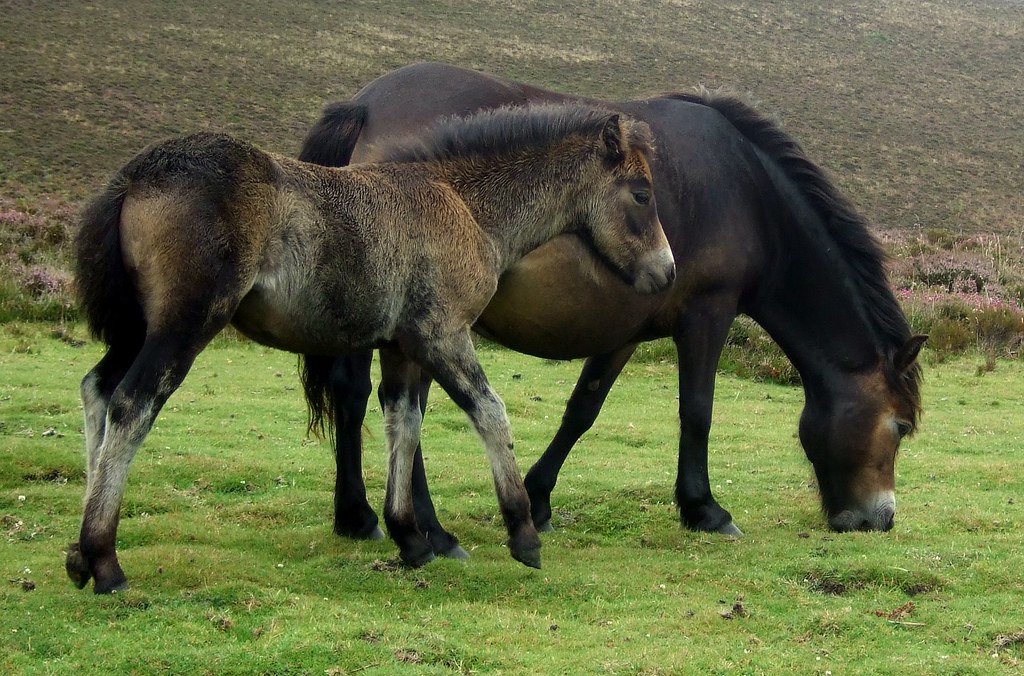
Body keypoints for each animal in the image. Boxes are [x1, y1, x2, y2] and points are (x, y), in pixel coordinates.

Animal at [67, 103, 675, 593]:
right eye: (642, 194)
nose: (666, 273)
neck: (465, 203)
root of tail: (136, 175)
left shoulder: (404, 346)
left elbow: (403, 423)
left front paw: (411, 539)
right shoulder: (443, 333)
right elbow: (490, 413)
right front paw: (523, 533)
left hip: (139, 329)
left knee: (97, 390)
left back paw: (78, 556)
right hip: (184, 324)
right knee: (132, 404)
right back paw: (105, 562)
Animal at [297, 62, 926, 559]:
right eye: (900, 427)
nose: (879, 521)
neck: (750, 195)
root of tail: (365, 105)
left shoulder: (625, 329)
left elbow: (584, 409)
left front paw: (539, 496)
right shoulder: (709, 315)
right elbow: (697, 411)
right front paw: (704, 509)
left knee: (367, 399)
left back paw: (367, 519)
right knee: (395, 408)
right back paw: (419, 529)